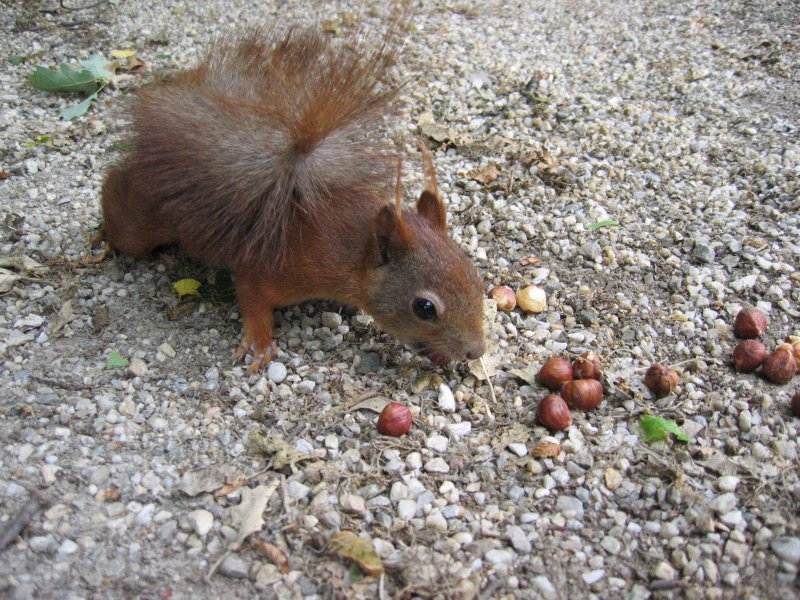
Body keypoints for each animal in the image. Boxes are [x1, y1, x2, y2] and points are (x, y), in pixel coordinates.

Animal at [100, 25, 488, 368]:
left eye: (475, 276)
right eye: (425, 308)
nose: (475, 351)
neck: (353, 250)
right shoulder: (277, 268)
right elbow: (252, 299)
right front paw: (260, 343)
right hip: (140, 225)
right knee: (116, 199)